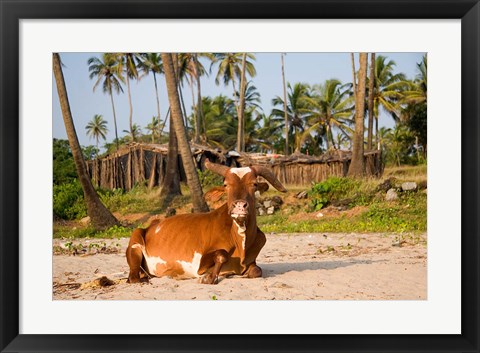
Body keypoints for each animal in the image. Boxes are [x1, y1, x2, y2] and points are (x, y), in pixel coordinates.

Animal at [125, 159, 286, 284]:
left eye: (254, 184)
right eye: (226, 185)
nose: (240, 206)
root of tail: (152, 225)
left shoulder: (252, 262)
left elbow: (256, 271)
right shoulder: (200, 262)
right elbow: (221, 254)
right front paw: (209, 277)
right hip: (135, 242)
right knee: (133, 277)